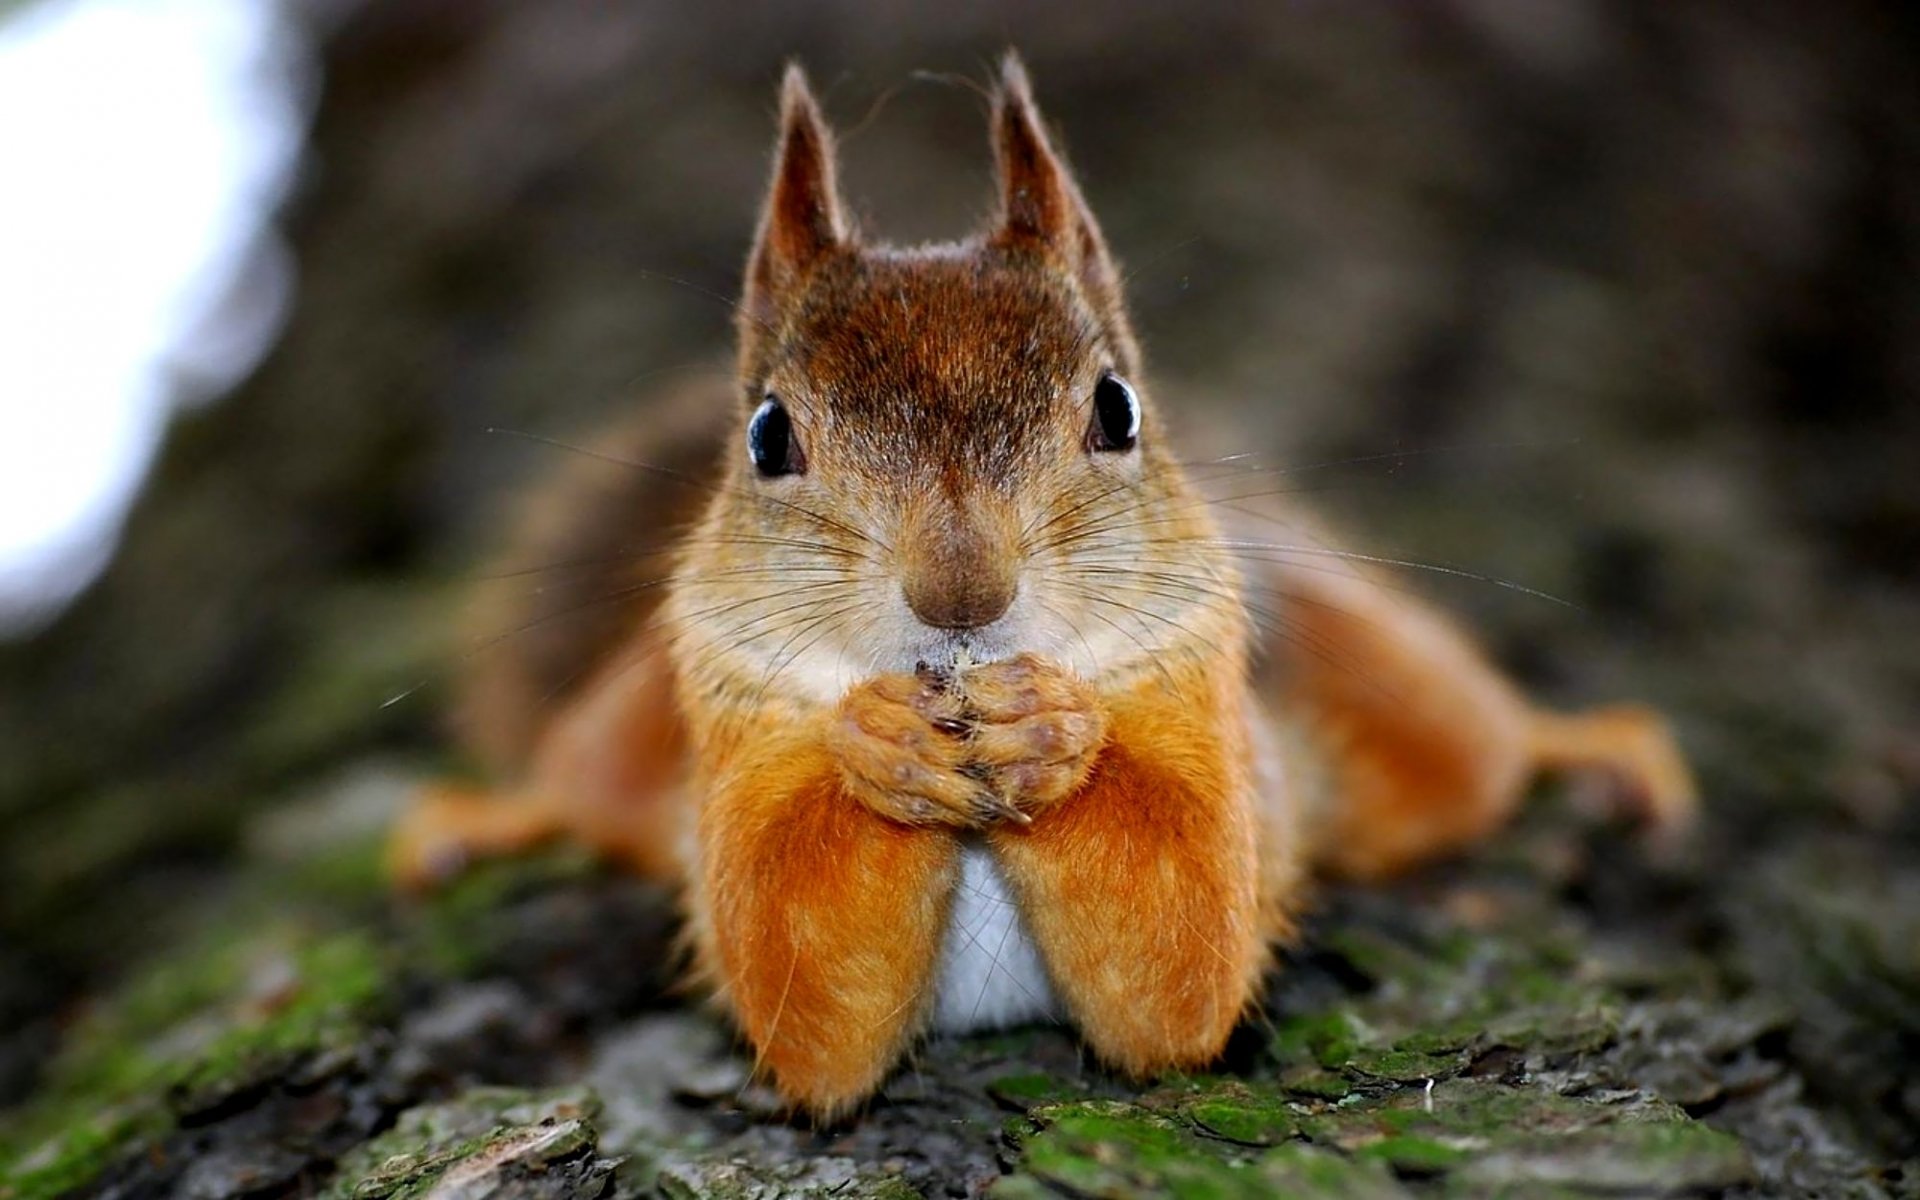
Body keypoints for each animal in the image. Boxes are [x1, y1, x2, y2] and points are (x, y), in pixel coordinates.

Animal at [389, 54, 1698, 1119]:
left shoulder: (1205, 701)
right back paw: (485, 820)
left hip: (1372, 673)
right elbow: (799, 986)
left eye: (1117, 410)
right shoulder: (731, 714)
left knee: (1474, 749)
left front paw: (1054, 732)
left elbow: (1185, 951)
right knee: (582, 786)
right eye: (766, 435)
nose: (961, 593)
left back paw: (1590, 745)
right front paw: (877, 744)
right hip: (627, 730)